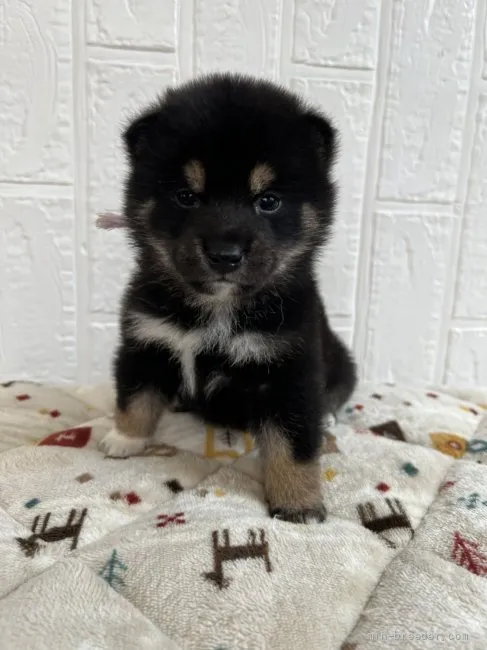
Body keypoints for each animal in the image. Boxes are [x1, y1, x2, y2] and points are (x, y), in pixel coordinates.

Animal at [100, 73, 358, 524]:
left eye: (268, 201)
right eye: (186, 196)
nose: (224, 254)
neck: (218, 309)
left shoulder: (289, 367)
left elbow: (294, 443)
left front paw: (298, 503)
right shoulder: (146, 340)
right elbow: (135, 394)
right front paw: (125, 437)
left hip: (339, 359)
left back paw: (328, 416)